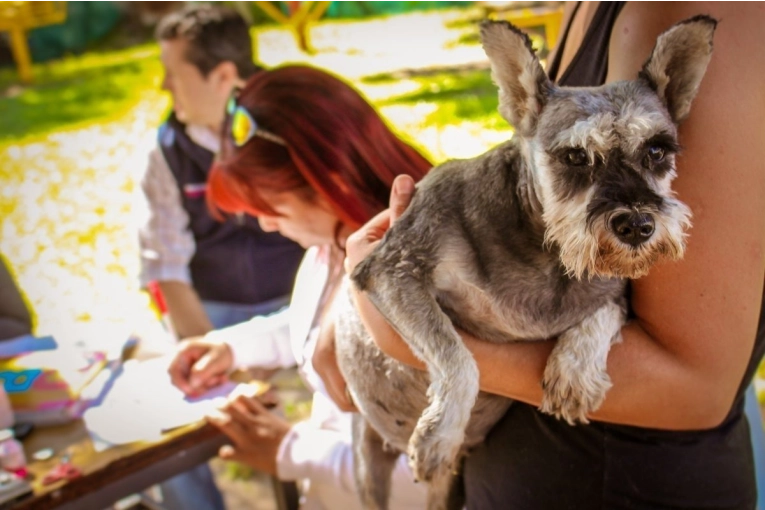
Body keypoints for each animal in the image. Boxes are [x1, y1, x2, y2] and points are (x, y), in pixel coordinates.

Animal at [334, 15, 716, 510]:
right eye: (575, 156)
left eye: (656, 151)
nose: (637, 225)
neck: (547, 254)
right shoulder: (394, 270)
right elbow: (456, 357)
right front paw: (439, 436)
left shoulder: (616, 294)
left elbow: (601, 315)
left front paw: (573, 372)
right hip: (367, 463)